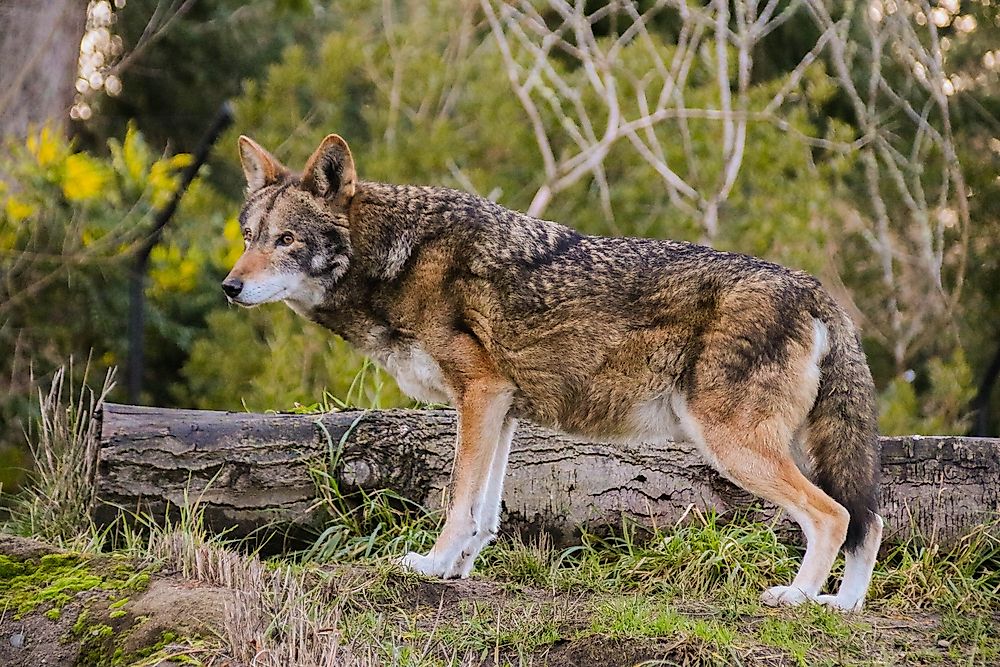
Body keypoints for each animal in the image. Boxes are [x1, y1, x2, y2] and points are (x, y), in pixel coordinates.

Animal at [221, 133, 884, 612]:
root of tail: (814, 288)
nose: (230, 287)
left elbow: (458, 502)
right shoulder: (501, 408)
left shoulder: (478, 395)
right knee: (868, 520)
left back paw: (796, 598)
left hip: (733, 447)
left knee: (834, 516)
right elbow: (484, 512)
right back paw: (839, 606)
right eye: (249, 236)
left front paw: (431, 565)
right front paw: (456, 570)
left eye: (286, 240)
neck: (397, 260)